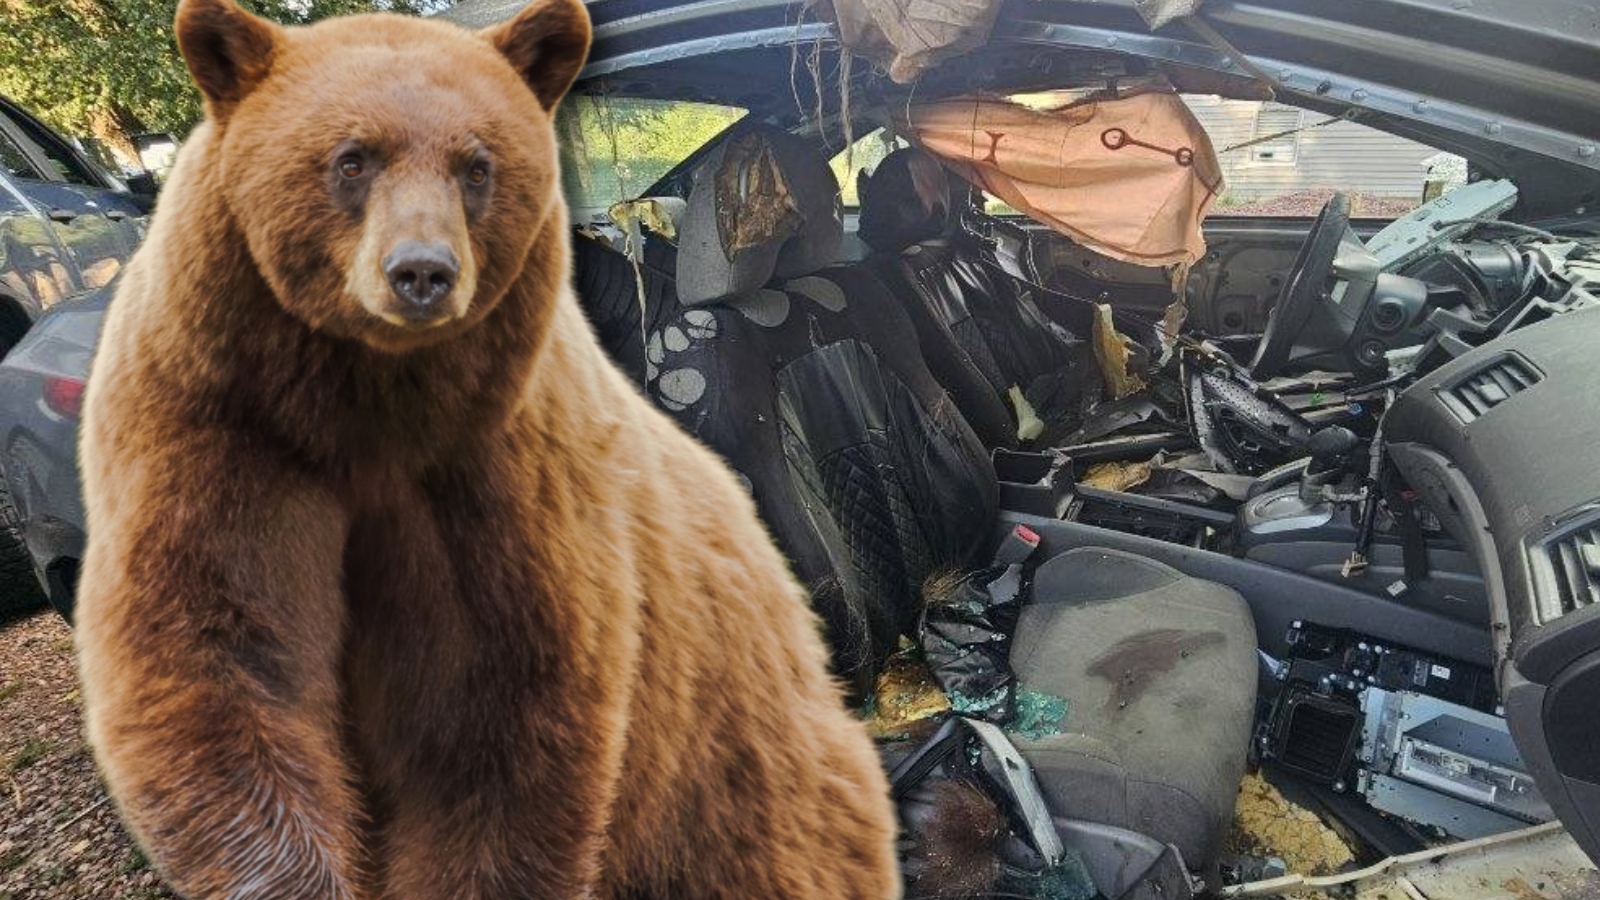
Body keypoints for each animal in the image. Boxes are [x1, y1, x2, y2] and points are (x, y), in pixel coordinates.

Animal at [72, 1, 902, 898]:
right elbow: (216, 657)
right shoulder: (211, 427)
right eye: (351, 160)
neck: (362, 401)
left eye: (477, 167)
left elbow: (505, 707)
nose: (422, 273)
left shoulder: (507, 473)